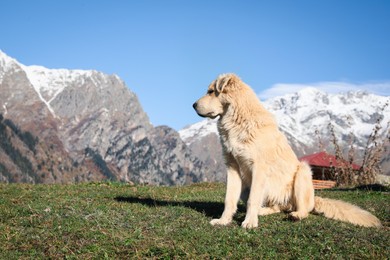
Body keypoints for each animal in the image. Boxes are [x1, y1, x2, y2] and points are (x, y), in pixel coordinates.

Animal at [193, 72, 382, 228]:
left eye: (211, 91)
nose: (193, 105)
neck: (237, 120)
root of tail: (314, 199)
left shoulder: (259, 168)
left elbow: (253, 199)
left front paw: (250, 222)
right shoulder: (233, 167)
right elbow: (229, 199)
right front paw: (224, 220)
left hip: (302, 172)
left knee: (303, 209)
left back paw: (296, 215)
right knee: (277, 206)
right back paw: (264, 211)